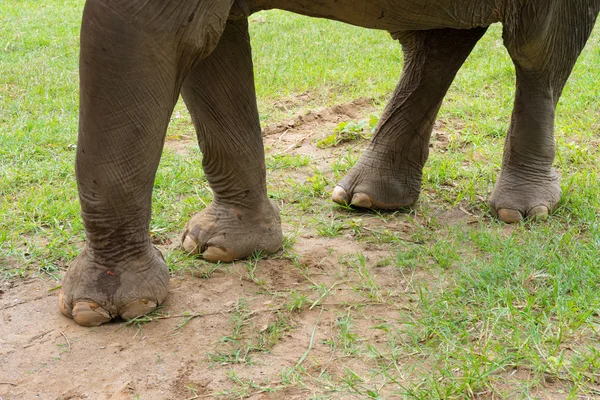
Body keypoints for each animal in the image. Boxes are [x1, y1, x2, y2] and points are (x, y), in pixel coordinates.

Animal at [59, 0, 600, 326]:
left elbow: (152, 35)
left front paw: (101, 311)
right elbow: (207, 43)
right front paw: (220, 249)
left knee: (536, 47)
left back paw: (517, 211)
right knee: (442, 39)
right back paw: (368, 200)